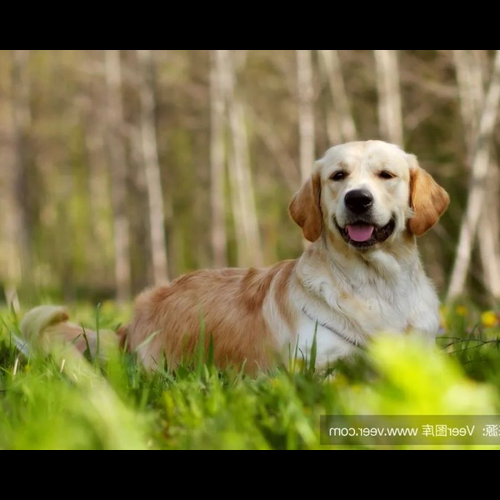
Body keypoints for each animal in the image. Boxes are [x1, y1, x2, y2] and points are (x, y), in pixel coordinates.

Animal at [20, 141, 450, 372]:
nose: (357, 199)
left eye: (386, 175)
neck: (375, 284)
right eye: (338, 176)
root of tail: (132, 321)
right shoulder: (313, 367)